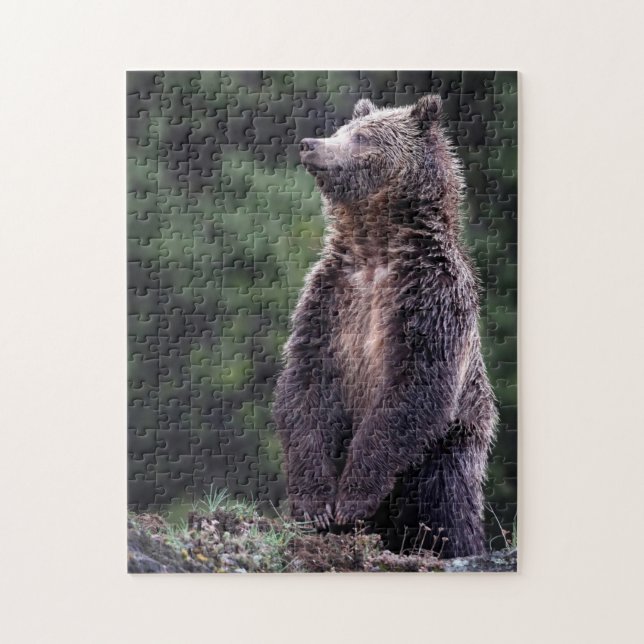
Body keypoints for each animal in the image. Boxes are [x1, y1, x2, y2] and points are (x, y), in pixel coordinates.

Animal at [272, 95, 497, 558]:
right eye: (341, 129)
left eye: (362, 137)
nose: (309, 144)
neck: (376, 246)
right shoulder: (330, 298)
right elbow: (304, 384)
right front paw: (315, 505)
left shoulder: (431, 298)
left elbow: (415, 385)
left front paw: (352, 498)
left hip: (449, 449)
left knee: (447, 506)